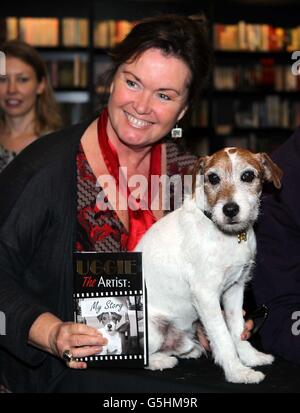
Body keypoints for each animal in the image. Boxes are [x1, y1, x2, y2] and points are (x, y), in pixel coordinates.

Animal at [135, 148, 282, 384]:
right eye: (213, 178)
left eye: (248, 175)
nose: (230, 209)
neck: (228, 236)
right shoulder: (206, 296)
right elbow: (223, 337)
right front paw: (237, 371)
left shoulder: (235, 289)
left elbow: (237, 329)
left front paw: (250, 357)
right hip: (153, 330)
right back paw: (160, 361)